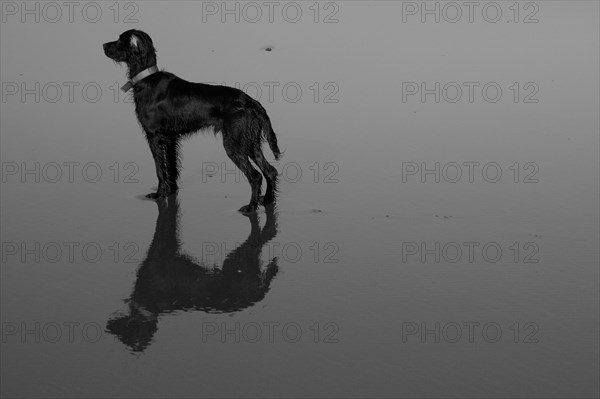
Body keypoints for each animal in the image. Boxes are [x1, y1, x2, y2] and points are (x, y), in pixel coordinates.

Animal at [103, 29, 282, 214]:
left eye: (119, 40)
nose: (103, 46)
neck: (146, 78)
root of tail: (251, 102)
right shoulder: (170, 139)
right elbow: (171, 168)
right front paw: (171, 191)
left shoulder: (154, 136)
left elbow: (160, 169)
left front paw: (159, 194)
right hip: (251, 143)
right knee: (270, 171)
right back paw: (267, 200)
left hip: (234, 144)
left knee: (256, 176)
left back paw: (251, 206)